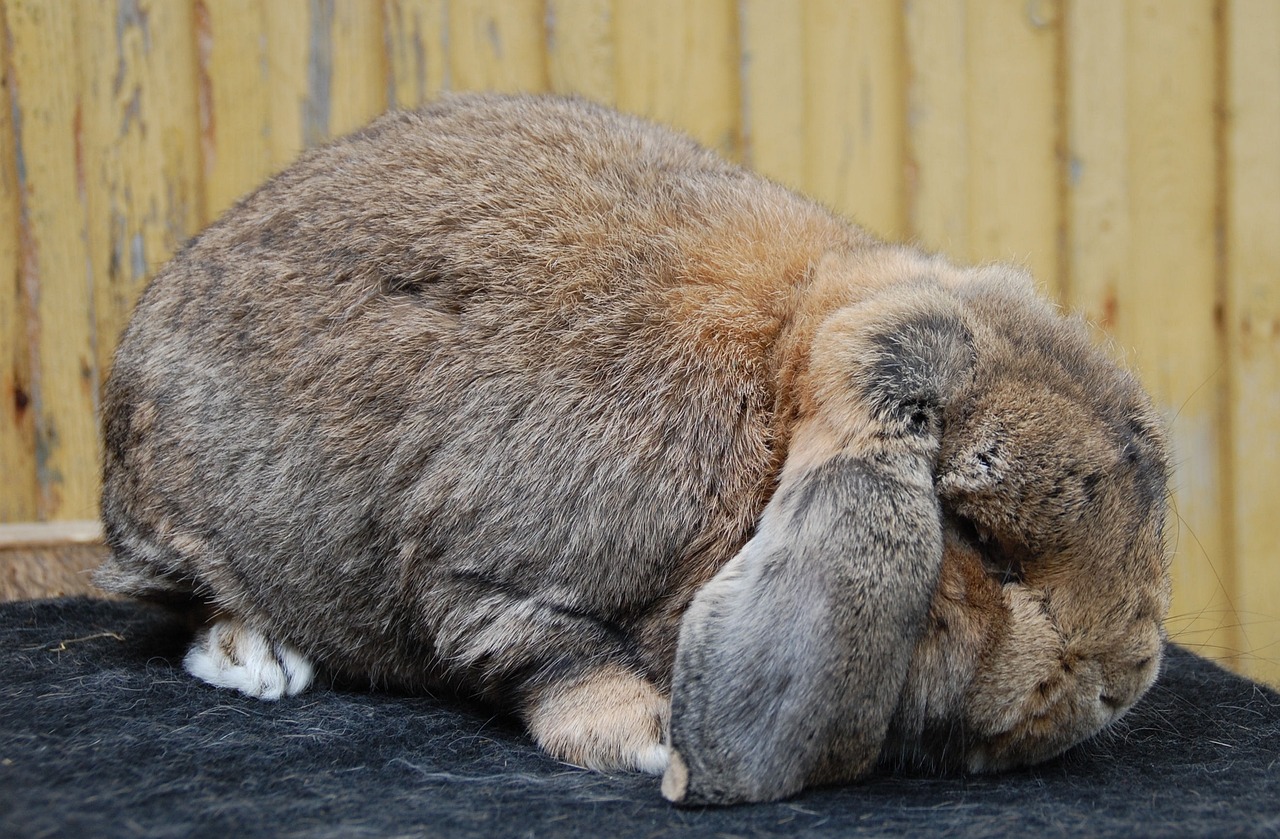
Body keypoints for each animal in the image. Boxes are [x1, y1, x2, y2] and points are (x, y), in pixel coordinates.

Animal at [94, 92, 1172, 809]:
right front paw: (651, 739)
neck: (778, 381)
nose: (1125, 680)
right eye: (982, 543)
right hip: (171, 518)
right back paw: (257, 656)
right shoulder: (486, 577)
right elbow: (547, 653)